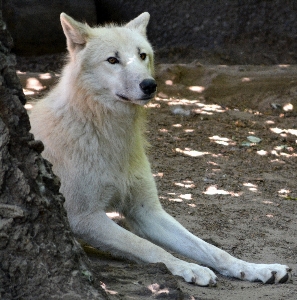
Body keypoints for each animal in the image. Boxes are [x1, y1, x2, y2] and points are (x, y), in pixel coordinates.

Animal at [30, 12, 290, 288]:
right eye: (112, 60)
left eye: (142, 55)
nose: (149, 84)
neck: (107, 133)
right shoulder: (84, 217)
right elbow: (149, 247)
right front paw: (189, 268)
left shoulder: (147, 211)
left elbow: (212, 249)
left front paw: (256, 269)